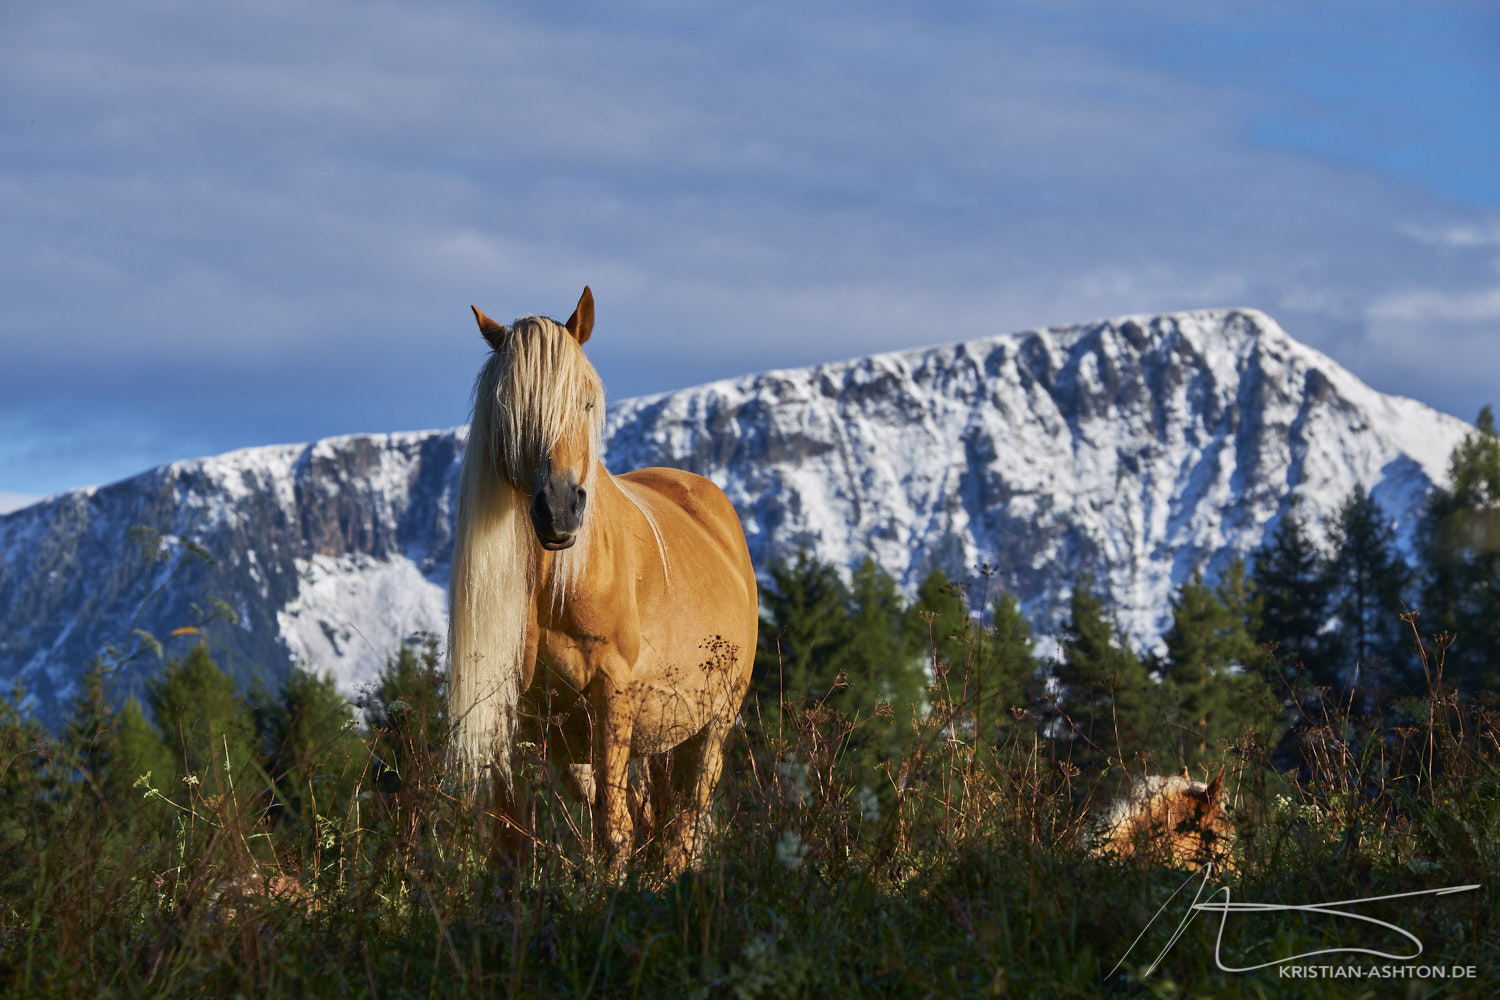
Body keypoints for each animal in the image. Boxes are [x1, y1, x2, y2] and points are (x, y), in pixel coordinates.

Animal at [441, 283, 750, 875]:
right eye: (512, 414)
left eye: (585, 401)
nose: (559, 510)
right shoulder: (517, 715)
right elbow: (513, 841)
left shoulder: (613, 695)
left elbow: (614, 832)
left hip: (711, 728)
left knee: (682, 826)